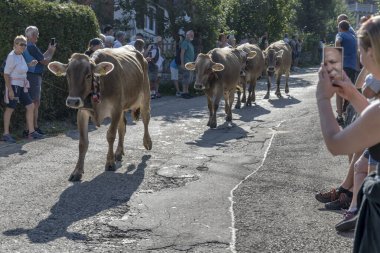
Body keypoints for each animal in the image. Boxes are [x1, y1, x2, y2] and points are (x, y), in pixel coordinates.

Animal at [48, 46, 152, 181]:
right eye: (68, 75)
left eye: (88, 75)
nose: (72, 101)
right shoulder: (82, 112)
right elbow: (82, 142)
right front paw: (77, 171)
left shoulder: (116, 109)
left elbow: (111, 135)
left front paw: (110, 163)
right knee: (122, 127)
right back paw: (119, 152)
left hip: (145, 95)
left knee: (146, 118)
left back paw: (147, 142)